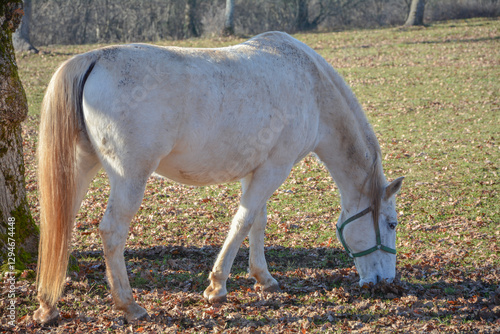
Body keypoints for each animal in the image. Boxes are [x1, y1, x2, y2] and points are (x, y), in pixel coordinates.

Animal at [34, 31, 402, 324]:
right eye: (392, 223)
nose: (386, 282)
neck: (312, 87)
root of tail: (94, 58)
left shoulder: (257, 170)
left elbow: (257, 221)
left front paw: (264, 279)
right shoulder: (275, 167)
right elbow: (243, 222)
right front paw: (217, 287)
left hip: (81, 167)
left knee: (60, 223)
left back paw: (48, 305)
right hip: (130, 177)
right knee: (112, 231)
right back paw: (129, 305)